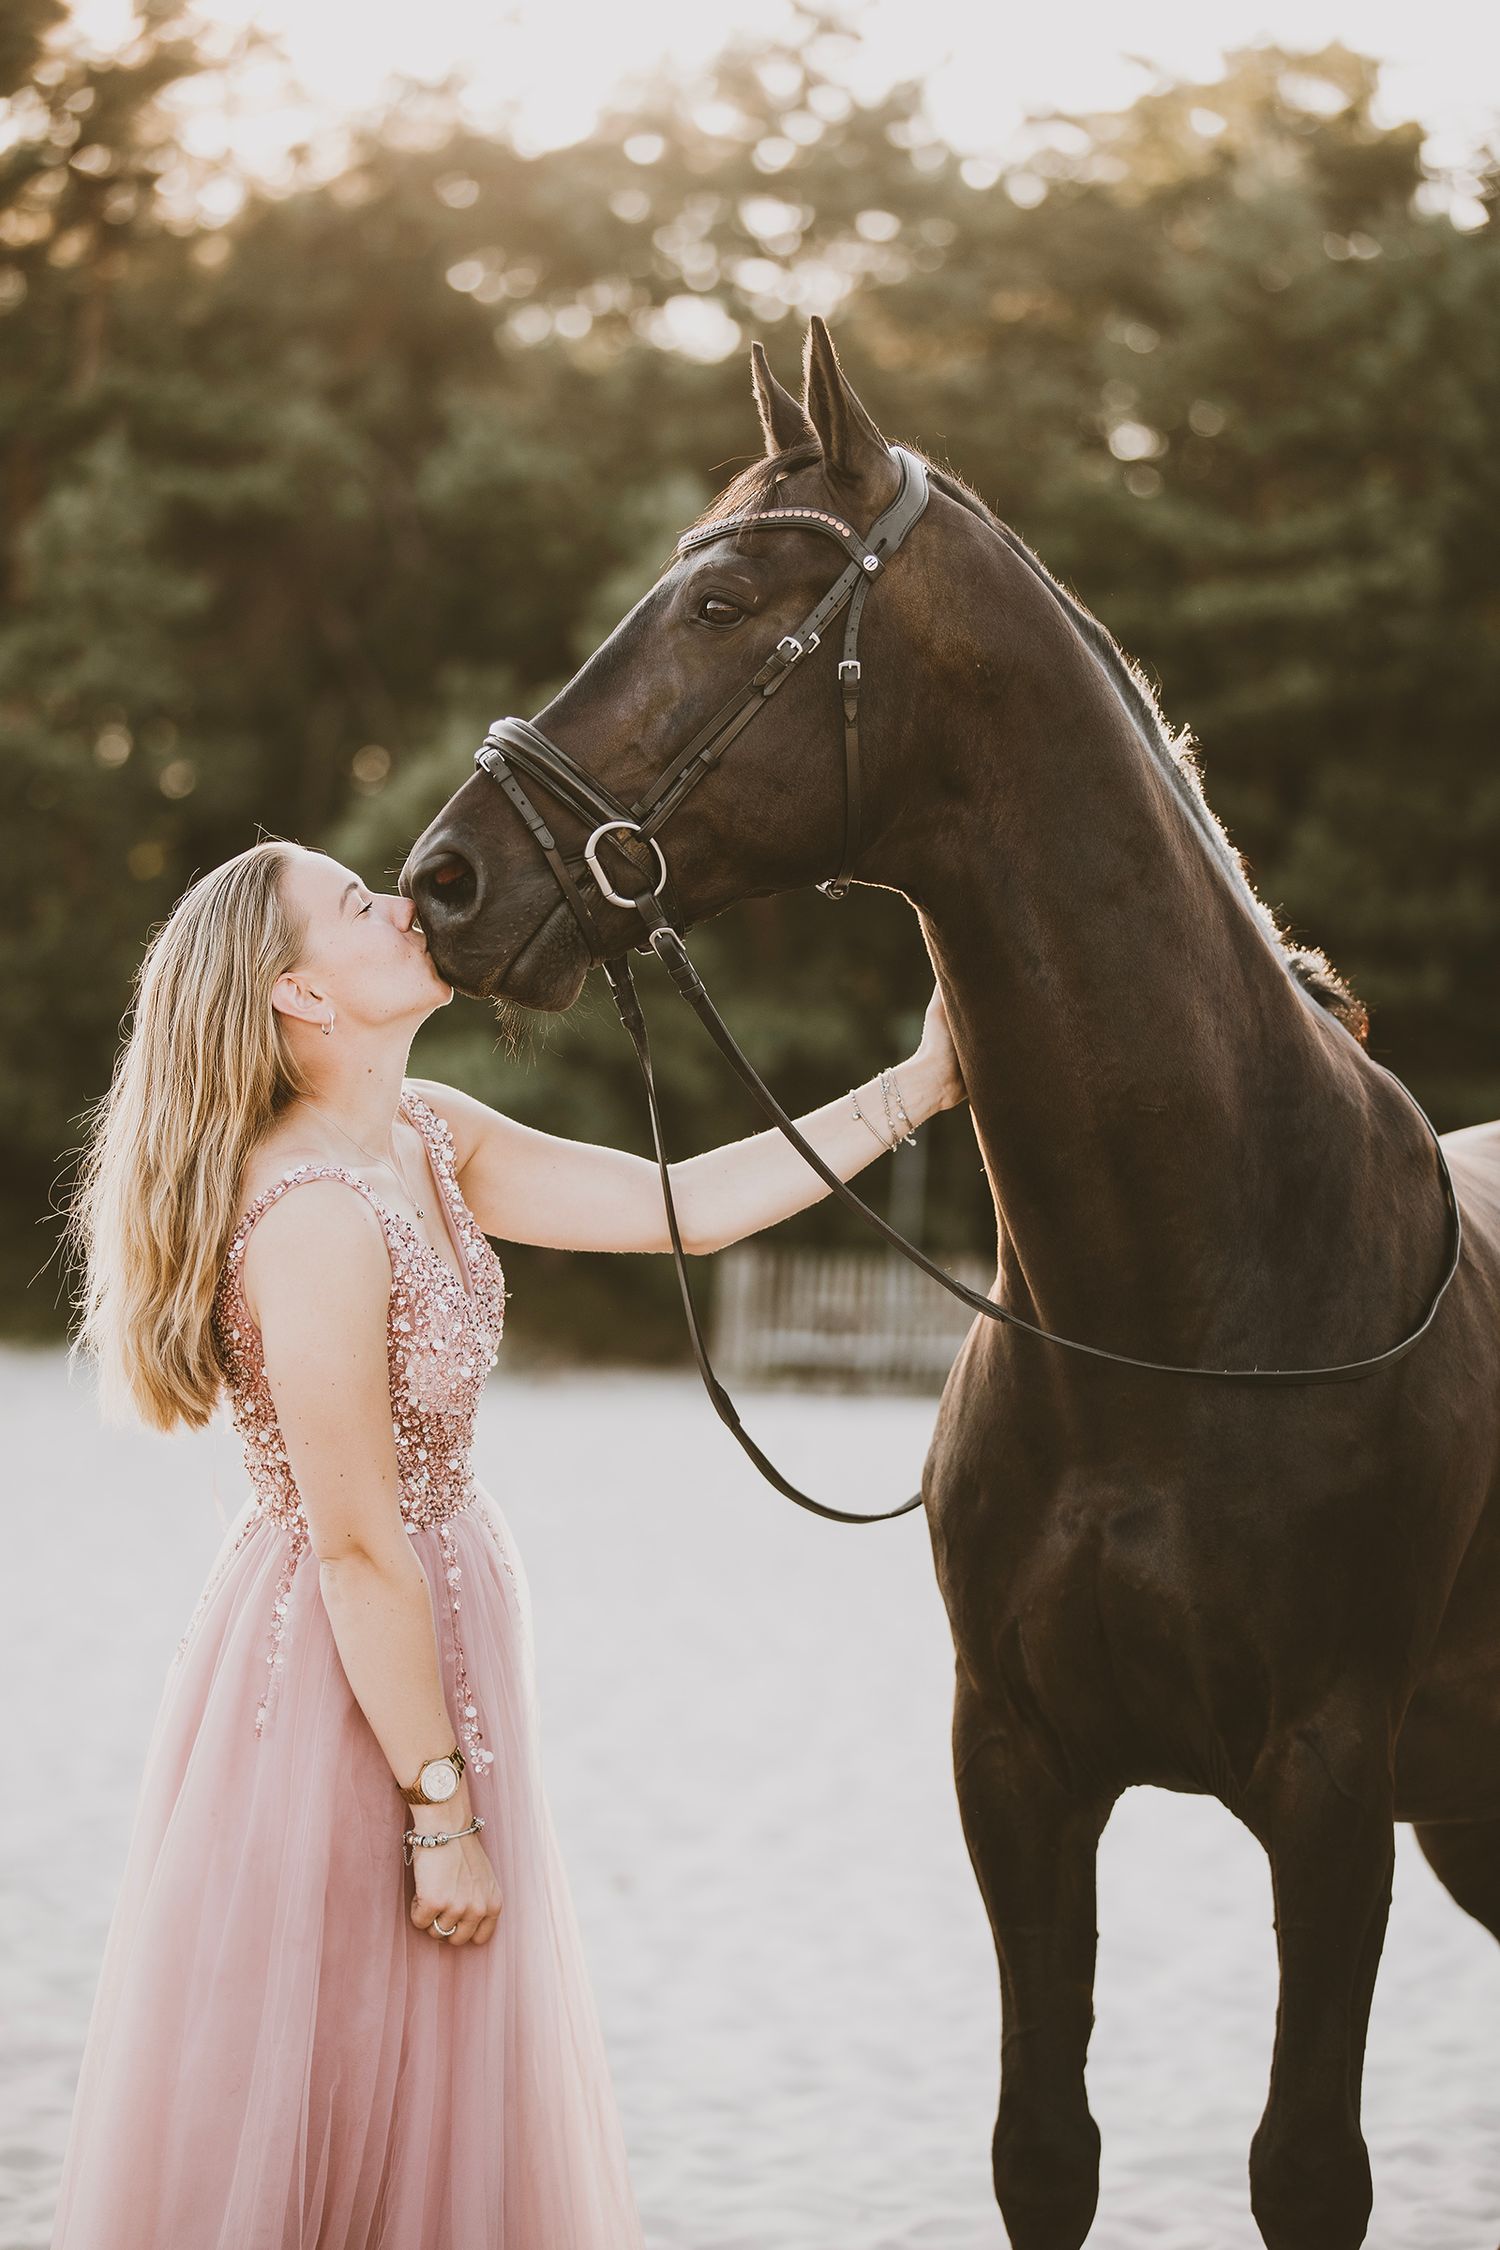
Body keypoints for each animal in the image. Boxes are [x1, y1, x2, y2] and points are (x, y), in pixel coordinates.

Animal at [399, 315, 1500, 2250]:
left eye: (727, 602)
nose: (447, 878)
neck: (1188, 1309)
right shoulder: (1020, 1771)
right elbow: (1041, 2146)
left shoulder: (1331, 1787)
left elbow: (1307, 2165)